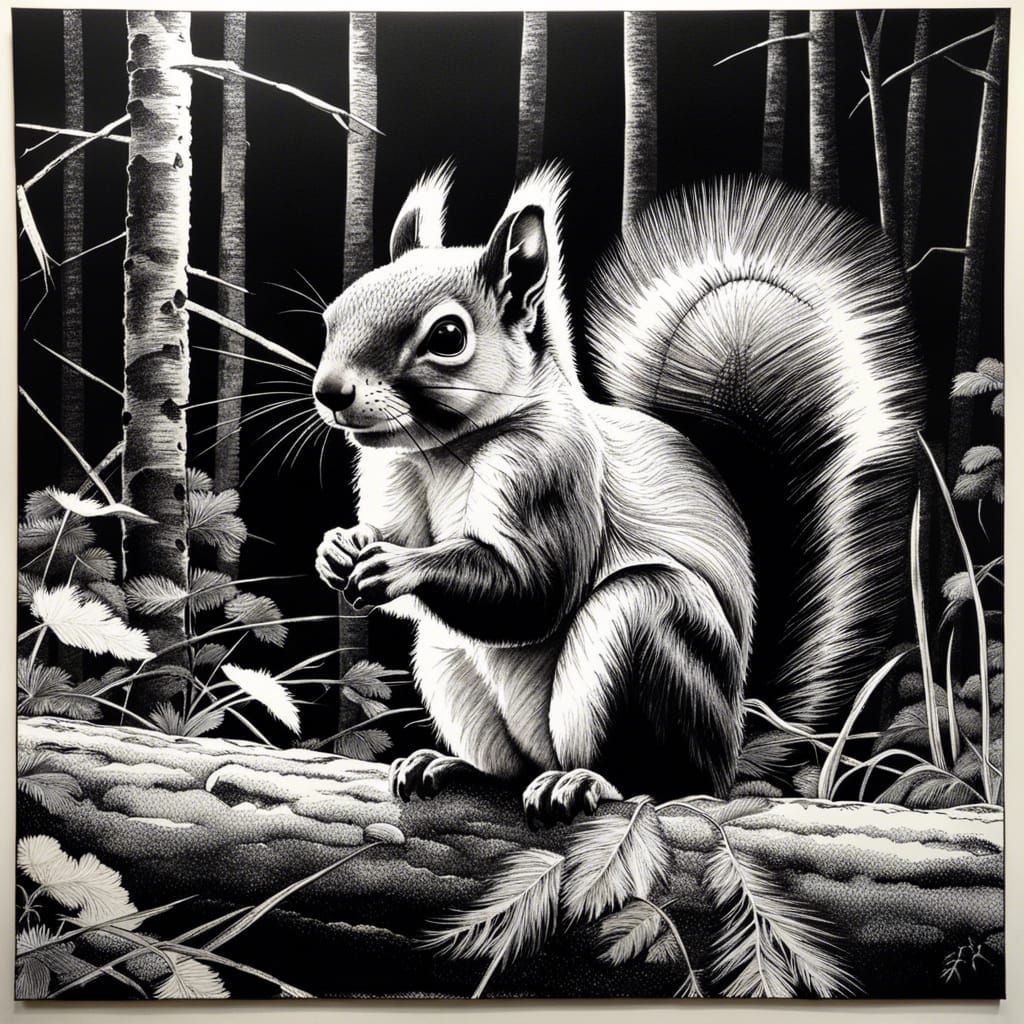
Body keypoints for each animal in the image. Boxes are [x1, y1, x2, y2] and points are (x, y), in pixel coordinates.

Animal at [313, 164, 923, 826]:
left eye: (448, 335)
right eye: (334, 315)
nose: (330, 391)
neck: (445, 451)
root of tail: (732, 746)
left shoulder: (553, 475)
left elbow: (533, 589)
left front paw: (400, 566)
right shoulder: (390, 475)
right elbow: (394, 540)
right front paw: (340, 547)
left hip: (645, 624)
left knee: (661, 779)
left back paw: (585, 780)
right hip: (448, 659)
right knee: (504, 760)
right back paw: (450, 765)